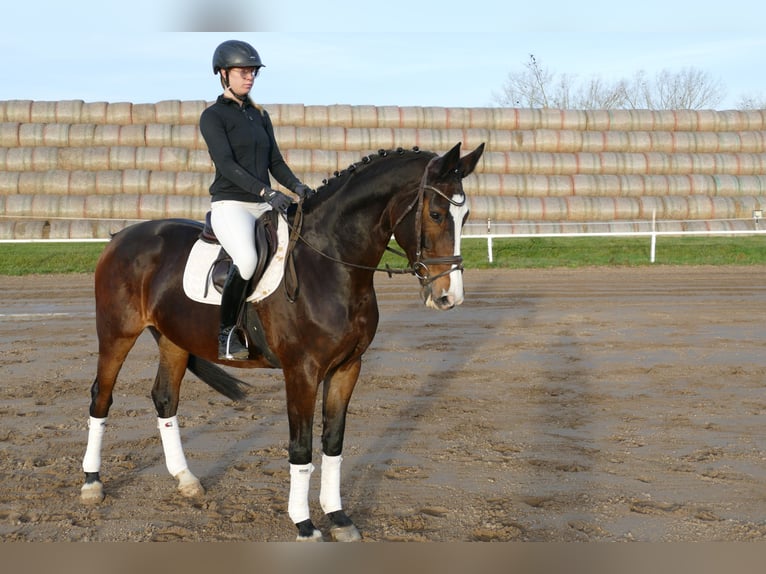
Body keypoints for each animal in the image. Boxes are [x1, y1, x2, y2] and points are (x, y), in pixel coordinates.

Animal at [79, 141, 485, 541]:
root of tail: (121, 237)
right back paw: (92, 483)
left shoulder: (347, 368)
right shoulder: (302, 372)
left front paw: (338, 517)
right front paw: (304, 524)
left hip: (174, 340)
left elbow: (333, 442)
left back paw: (186, 481)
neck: (332, 264)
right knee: (101, 396)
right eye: (436, 214)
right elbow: (301, 447)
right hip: (117, 334)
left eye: (464, 217)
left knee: (165, 399)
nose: (450, 296)